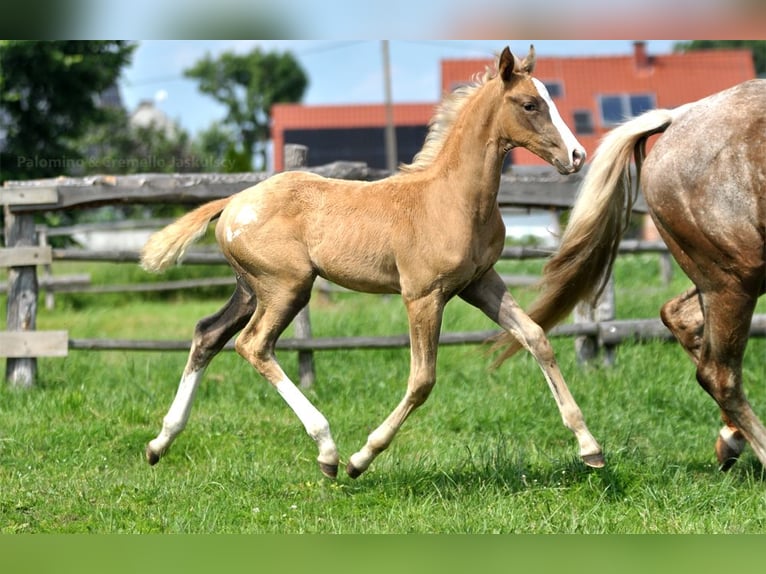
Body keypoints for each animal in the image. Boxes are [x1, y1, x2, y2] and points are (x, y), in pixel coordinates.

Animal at [140, 45, 604, 480]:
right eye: (530, 104)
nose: (577, 155)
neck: (452, 198)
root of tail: (233, 200)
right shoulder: (423, 295)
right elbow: (422, 380)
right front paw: (361, 459)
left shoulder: (481, 282)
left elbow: (536, 337)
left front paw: (590, 447)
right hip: (287, 286)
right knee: (253, 345)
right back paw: (327, 451)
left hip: (252, 288)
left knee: (208, 335)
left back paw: (160, 443)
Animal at [492, 79, 766, 472]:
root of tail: (678, 117)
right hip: (735, 275)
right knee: (719, 373)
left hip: (729, 276)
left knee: (682, 320)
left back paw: (730, 440)